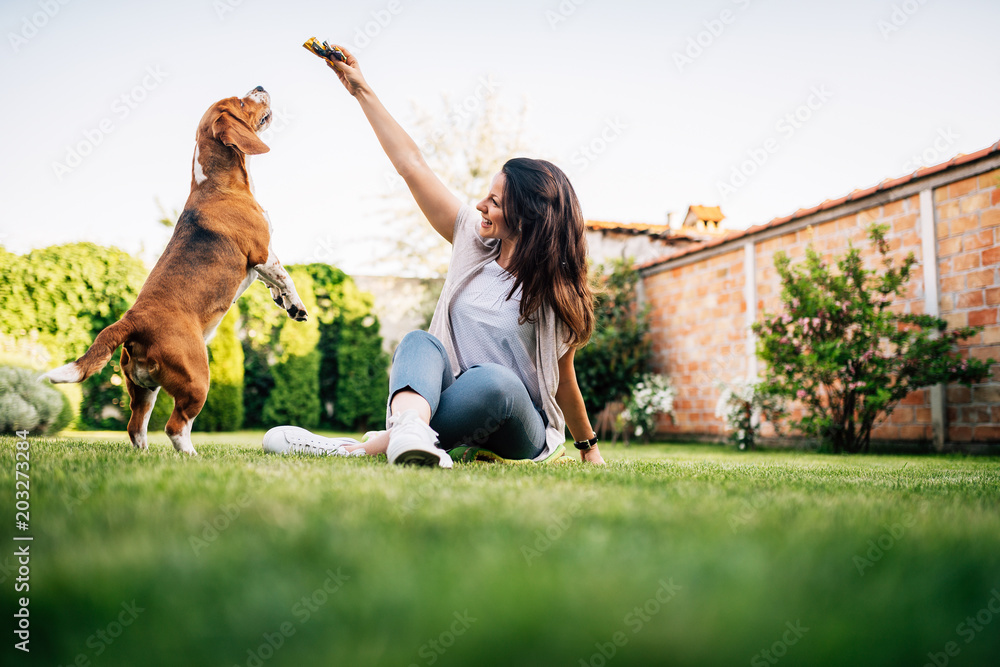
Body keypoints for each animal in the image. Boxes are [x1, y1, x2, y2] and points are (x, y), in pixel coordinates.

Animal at [43, 86, 306, 456]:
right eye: (242, 102)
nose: (259, 86)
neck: (217, 182)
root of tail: (132, 320)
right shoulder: (262, 254)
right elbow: (286, 277)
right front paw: (297, 305)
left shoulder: (261, 265)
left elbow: (275, 285)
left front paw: (284, 303)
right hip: (197, 380)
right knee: (176, 426)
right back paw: (192, 457)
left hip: (143, 389)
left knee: (135, 427)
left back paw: (144, 454)